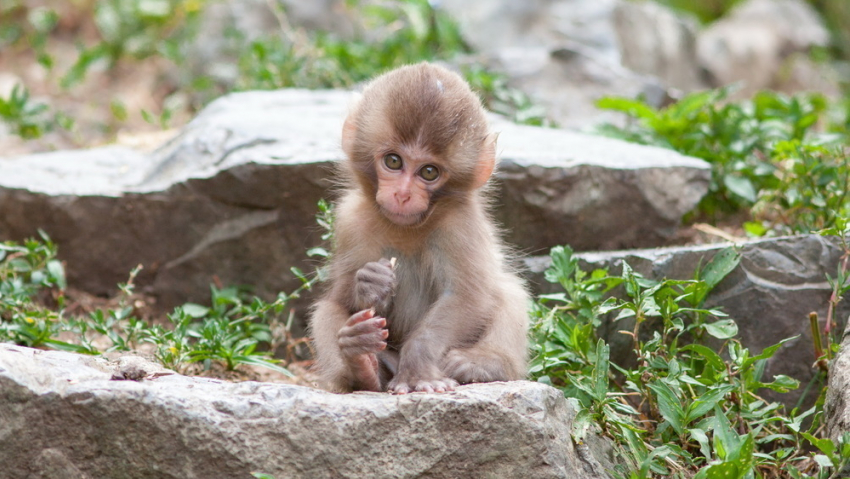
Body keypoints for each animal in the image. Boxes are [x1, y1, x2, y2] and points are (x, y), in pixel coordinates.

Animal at [308, 62, 528, 394]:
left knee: (508, 291)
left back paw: (484, 363)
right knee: (327, 310)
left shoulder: (460, 226)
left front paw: (418, 371)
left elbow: (466, 296)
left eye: (429, 172)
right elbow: (341, 299)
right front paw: (370, 284)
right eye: (393, 161)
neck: (408, 228)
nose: (403, 195)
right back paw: (361, 364)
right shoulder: (350, 219)